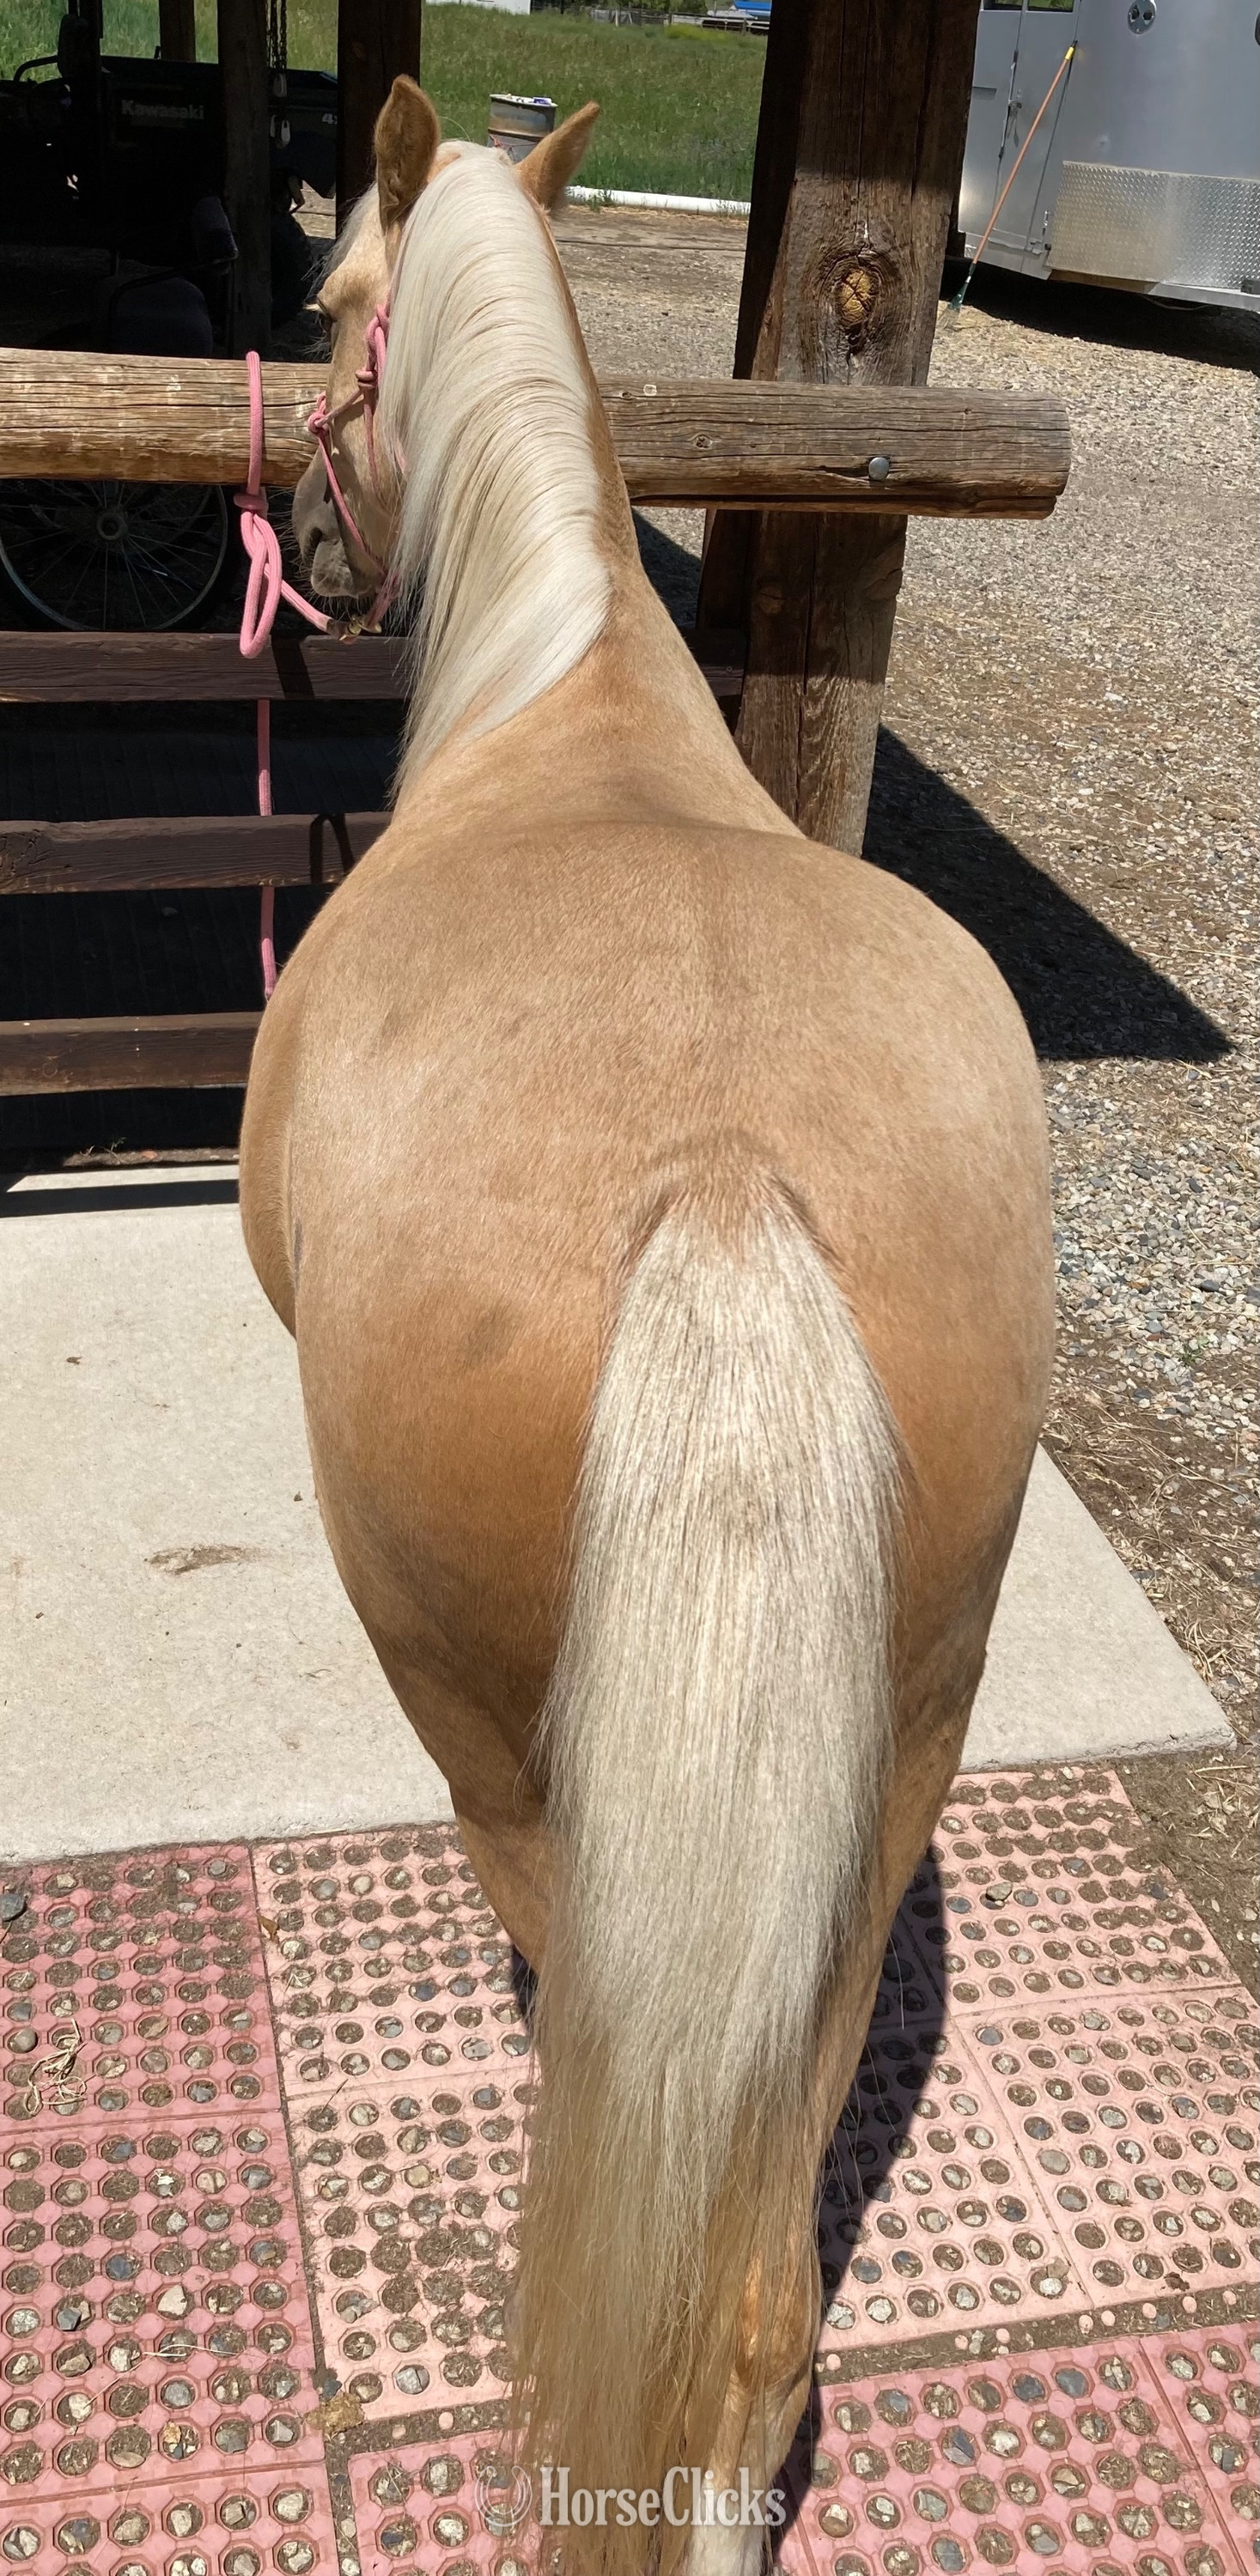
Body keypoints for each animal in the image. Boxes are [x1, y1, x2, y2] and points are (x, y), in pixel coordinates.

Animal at [239, 78, 1054, 2576]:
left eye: (332, 300)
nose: (307, 529)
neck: (567, 695)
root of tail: (717, 1187)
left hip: (508, 1751)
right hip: (893, 1763)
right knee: (753, 2313)